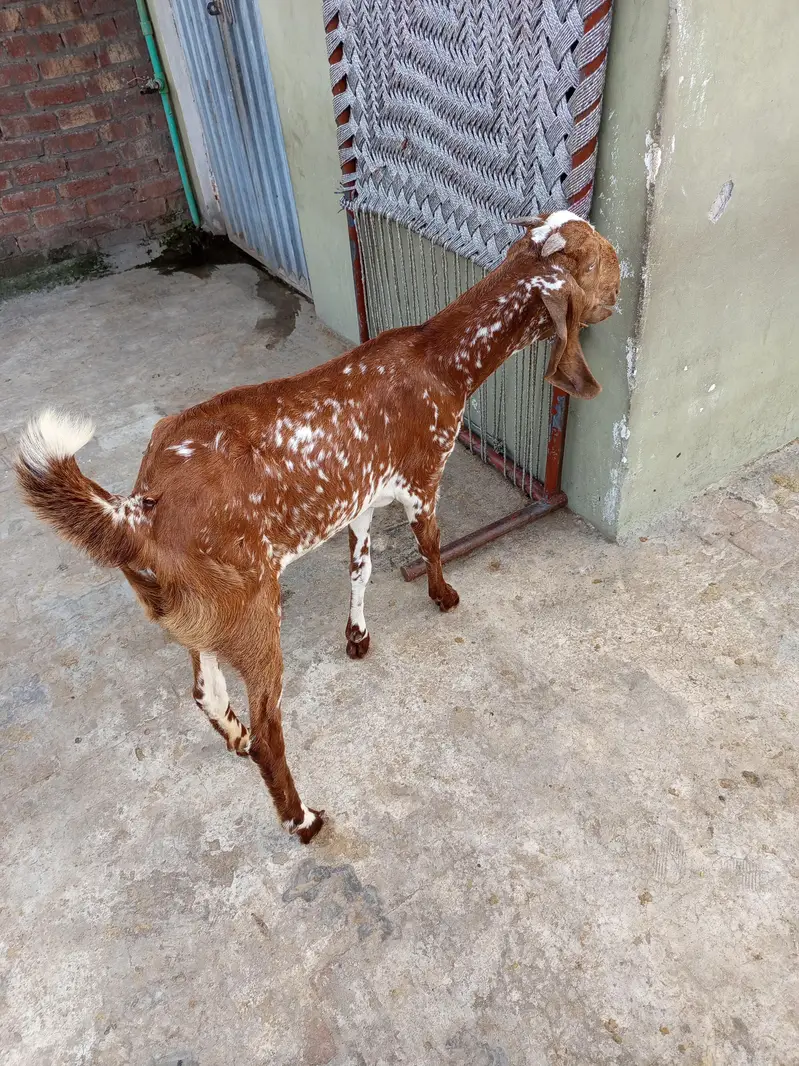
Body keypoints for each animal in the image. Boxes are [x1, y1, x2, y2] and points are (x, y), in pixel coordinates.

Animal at [16, 211, 620, 844]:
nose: (623, 292)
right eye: (606, 261)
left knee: (206, 693)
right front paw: (443, 595)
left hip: (202, 612)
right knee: (270, 726)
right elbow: (430, 544)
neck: (440, 359)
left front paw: (357, 635)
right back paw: (300, 816)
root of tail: (140, 507)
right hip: (255, 607)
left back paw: (236, 736)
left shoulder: (359, 500)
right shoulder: (422, 479)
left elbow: (361, 568)